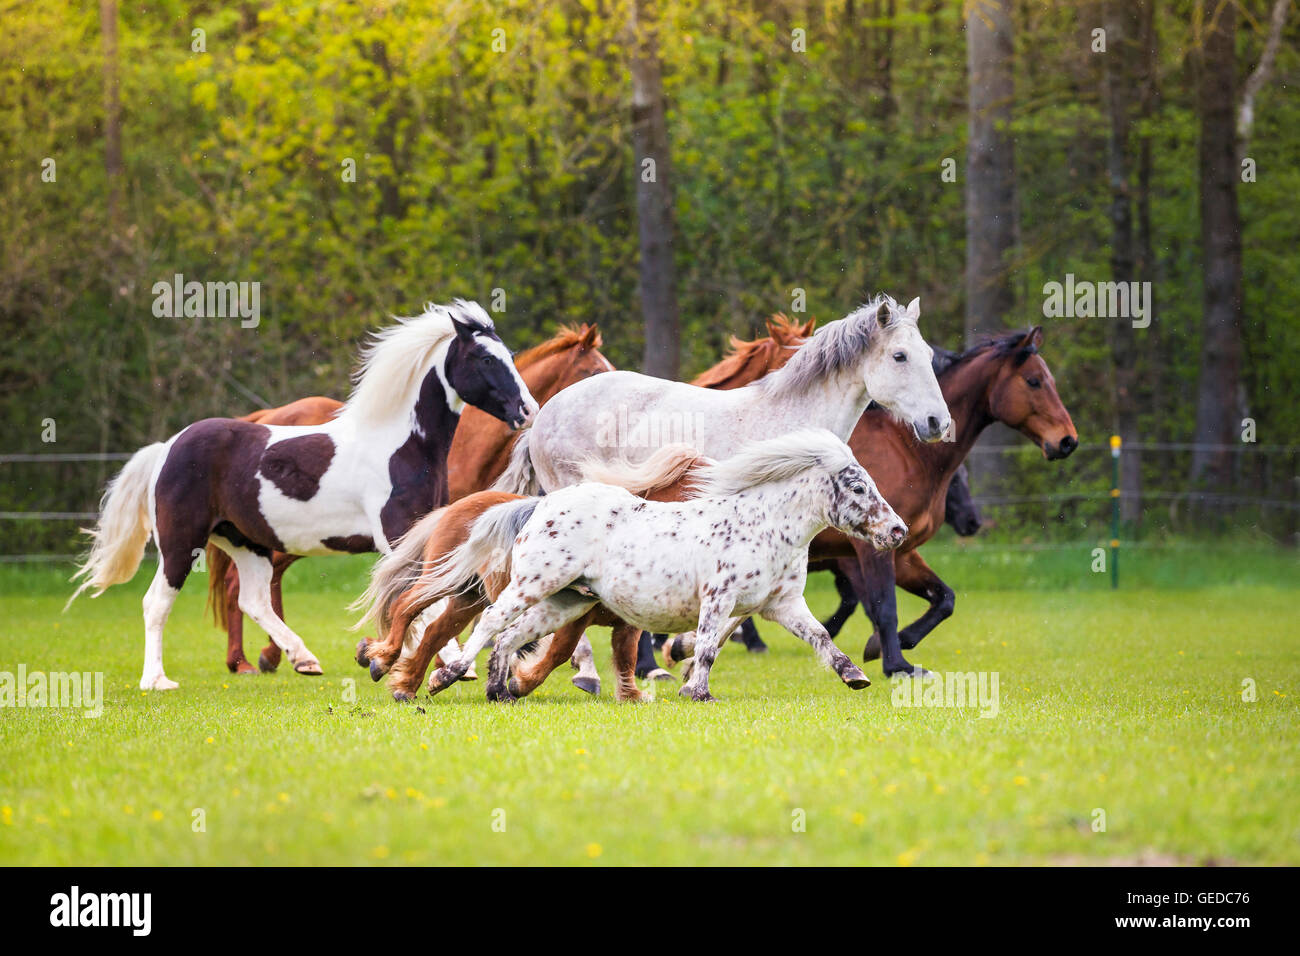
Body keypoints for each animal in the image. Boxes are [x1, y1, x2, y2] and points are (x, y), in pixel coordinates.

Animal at [67, 299, 538, 686]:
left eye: (510, 357)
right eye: (484, 358)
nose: (527, 410)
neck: (398, 445)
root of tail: (167, 447)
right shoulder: (396, 535)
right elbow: (422, 600)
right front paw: (425, 663)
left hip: (245, 542)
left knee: (253, 600)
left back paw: (303, 659)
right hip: (181, 542)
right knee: (157, 603)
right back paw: (157, 681)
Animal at [205, 325, 611, 676]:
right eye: (593, 371)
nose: (530, 411)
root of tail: (267, 416)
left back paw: (272, 656)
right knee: (240, 586)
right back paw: (247, 660)